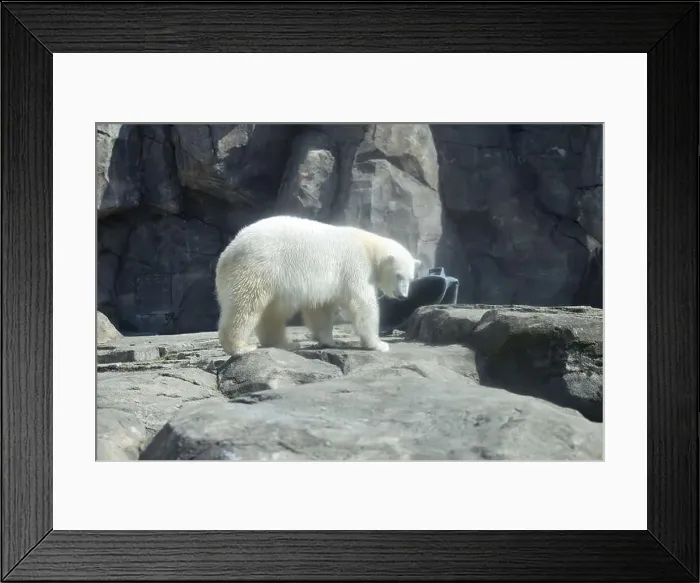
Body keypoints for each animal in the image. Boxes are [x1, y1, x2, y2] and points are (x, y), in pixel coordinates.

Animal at [214, 215, 421, 357]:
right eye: (399, 275)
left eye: (411, 278)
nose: (403, 296)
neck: (369, 247)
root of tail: (228, 252)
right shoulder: (355, 266)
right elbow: (363, 305)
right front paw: (379, 344)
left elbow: (319, 310)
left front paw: (329, 341)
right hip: (259, 267)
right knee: (246, 305)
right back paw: (240, 347)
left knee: (272, 313)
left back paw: (286, 344)